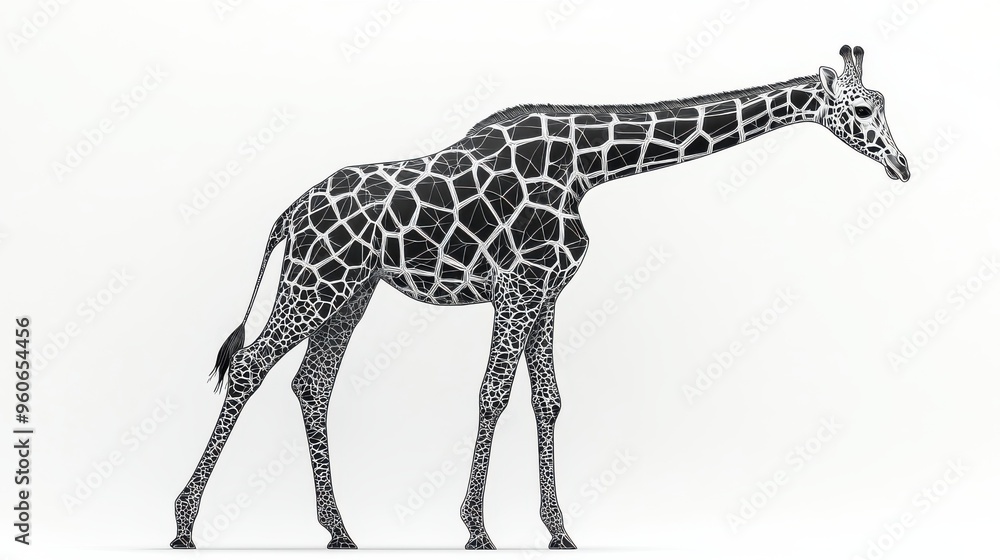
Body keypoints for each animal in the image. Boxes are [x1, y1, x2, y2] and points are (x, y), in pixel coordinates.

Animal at [170, 45, 908, 550]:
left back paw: (340, 531)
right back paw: (184, 522)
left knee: (310, 384)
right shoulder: (519, 286)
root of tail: (288, 214)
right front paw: (476, 529)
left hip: (350, 291)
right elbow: (492, 394)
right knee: (250, 366)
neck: (588, 165)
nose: (902, 165)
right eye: (863, 109)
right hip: (315, 280)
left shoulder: (547, 291)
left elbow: (547, 400)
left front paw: (559, 530)